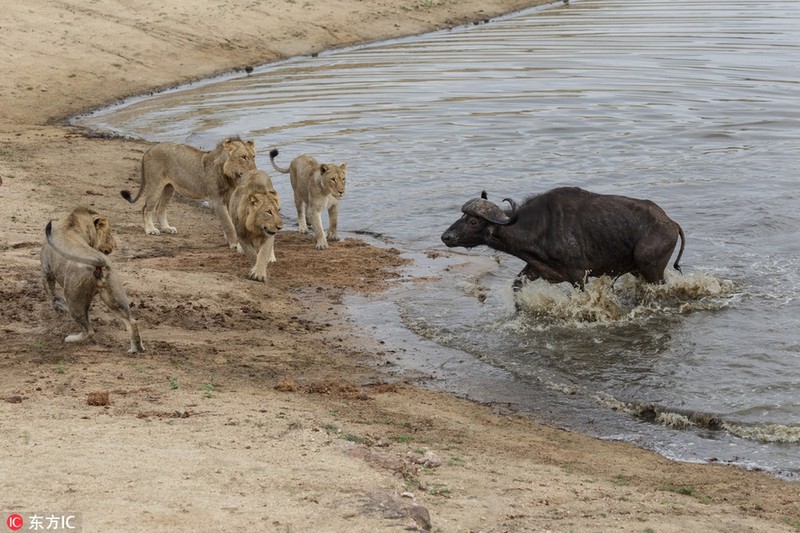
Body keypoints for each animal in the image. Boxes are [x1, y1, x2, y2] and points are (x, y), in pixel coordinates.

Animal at [40, 208, 145, 354]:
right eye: (109, 233)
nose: (115, 245)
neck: (73, 224)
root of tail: (99, 262)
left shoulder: (46, 270)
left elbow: (51, 293)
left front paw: (58, 307)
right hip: (115, 298)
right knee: (132, 321)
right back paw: (136, 349)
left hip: (73, 298)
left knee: (89, 331)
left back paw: (71, 338)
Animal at [121, 136, 256, 246]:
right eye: (243, 157)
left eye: (253, 157)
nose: (254, 171)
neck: (230, 177)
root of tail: (149, 149)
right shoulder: (217, 202)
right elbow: (228, 225)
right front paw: (235, 245)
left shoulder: (227, 200)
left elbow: (228, 223)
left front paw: (230, 241)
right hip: (155, 185)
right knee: (146, 208)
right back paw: (151, 230)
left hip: (169, 188)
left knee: (160, 208)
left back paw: (167, 228)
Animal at [440, 187, 684, 286]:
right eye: (462, 215)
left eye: (473, 221)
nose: (446, 237)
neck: (539, 227)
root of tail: (671, 223)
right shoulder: (535, 269)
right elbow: (516, 287)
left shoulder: (579, 276)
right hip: (638, 270)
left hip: (651, 269)